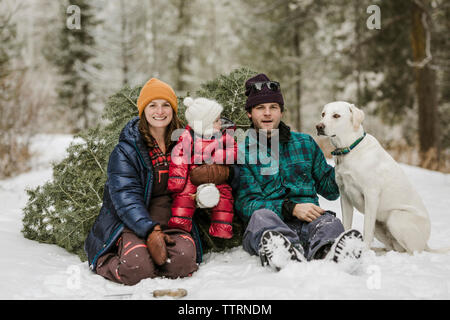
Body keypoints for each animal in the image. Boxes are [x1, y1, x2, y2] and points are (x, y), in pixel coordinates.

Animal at [316, 101, 436, 254]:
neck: (349, 149)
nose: (318, 127)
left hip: (395, 218)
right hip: (380, 225)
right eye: (323, 114)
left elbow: (367, 229)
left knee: (413, 251)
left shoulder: (371, 195)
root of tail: (426, 243)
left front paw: (364, 252)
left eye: (336, 115)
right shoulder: (345, 195)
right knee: (393, 248)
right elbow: (346, 225)